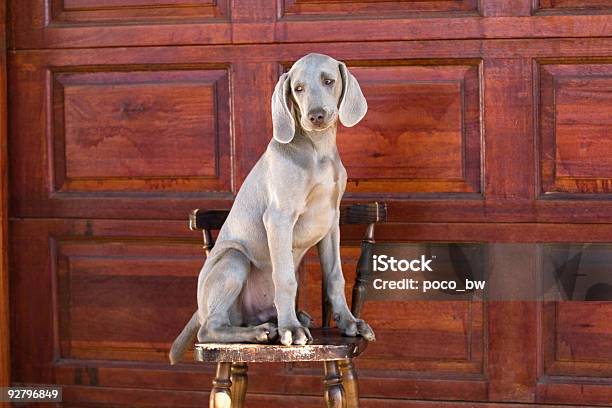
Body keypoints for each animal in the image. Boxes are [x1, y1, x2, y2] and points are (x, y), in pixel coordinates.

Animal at [170, 53, 376, 364]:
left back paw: (280, 321)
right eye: (298, 89)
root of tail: (200, 307)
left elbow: (334, 276)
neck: (317, 150)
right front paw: (291, 328)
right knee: (209, 329)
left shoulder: (331, 222)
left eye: (329, 81)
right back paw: (267, 330)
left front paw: (349, 322)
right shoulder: (279, 218)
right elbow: (285, 279)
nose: (316, 116)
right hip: (233, 260)